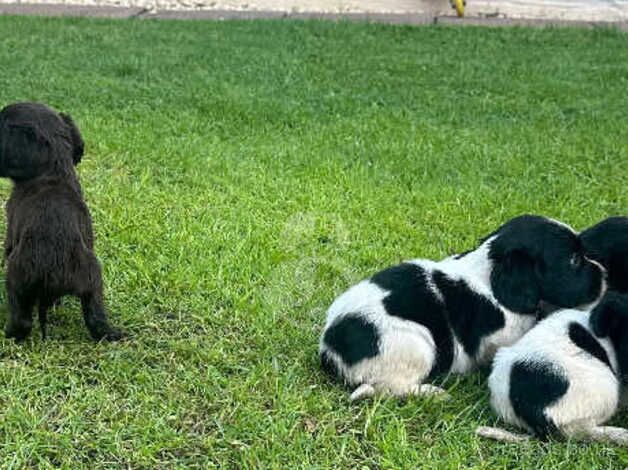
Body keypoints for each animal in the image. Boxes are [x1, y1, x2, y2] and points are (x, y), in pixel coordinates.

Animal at [0, 102, 124, 342]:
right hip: (94, 281)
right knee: (95, 316)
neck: (53, 170)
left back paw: (9, 334)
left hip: (17, 279)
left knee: (22, 319)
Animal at [322, 215, 604, 402]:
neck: (490, 270)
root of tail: (331, 350)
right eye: (574, 260)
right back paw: (432, 393)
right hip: (418, 345)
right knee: (391, 387)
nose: (604, 273)